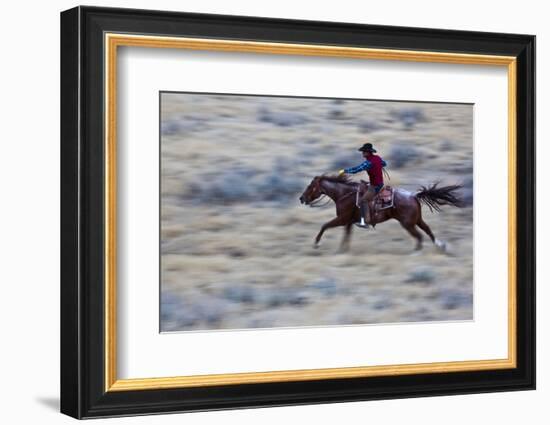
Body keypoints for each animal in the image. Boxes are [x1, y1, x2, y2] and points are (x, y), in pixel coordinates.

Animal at [300, 173, 464, 250]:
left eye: (310, 186)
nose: (302, 198)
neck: (344, 194)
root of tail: (414, 196)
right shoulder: (348, 222)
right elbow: (346, 237)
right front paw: (341, 251)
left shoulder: (342, 219)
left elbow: (324, 226)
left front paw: (316, 244)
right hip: (417, 220)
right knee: (427, 230)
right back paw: (441, 246)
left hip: (407, 224)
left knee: (419, 236)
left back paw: (416, 252)